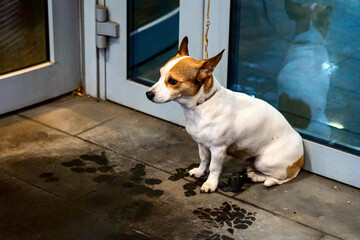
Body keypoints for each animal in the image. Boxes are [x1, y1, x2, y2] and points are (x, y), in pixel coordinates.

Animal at [146, 36, 304, 193]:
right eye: (160, 75)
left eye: (172, 81)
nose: (148, 94)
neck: (201, 105)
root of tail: (300, 161)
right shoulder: (202, 145)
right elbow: (204, 160)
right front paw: (199, 171)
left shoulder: (218, 150)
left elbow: (214, 168)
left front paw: (210, 184)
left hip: (264, 161)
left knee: (277, 178)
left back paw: (257, 176)